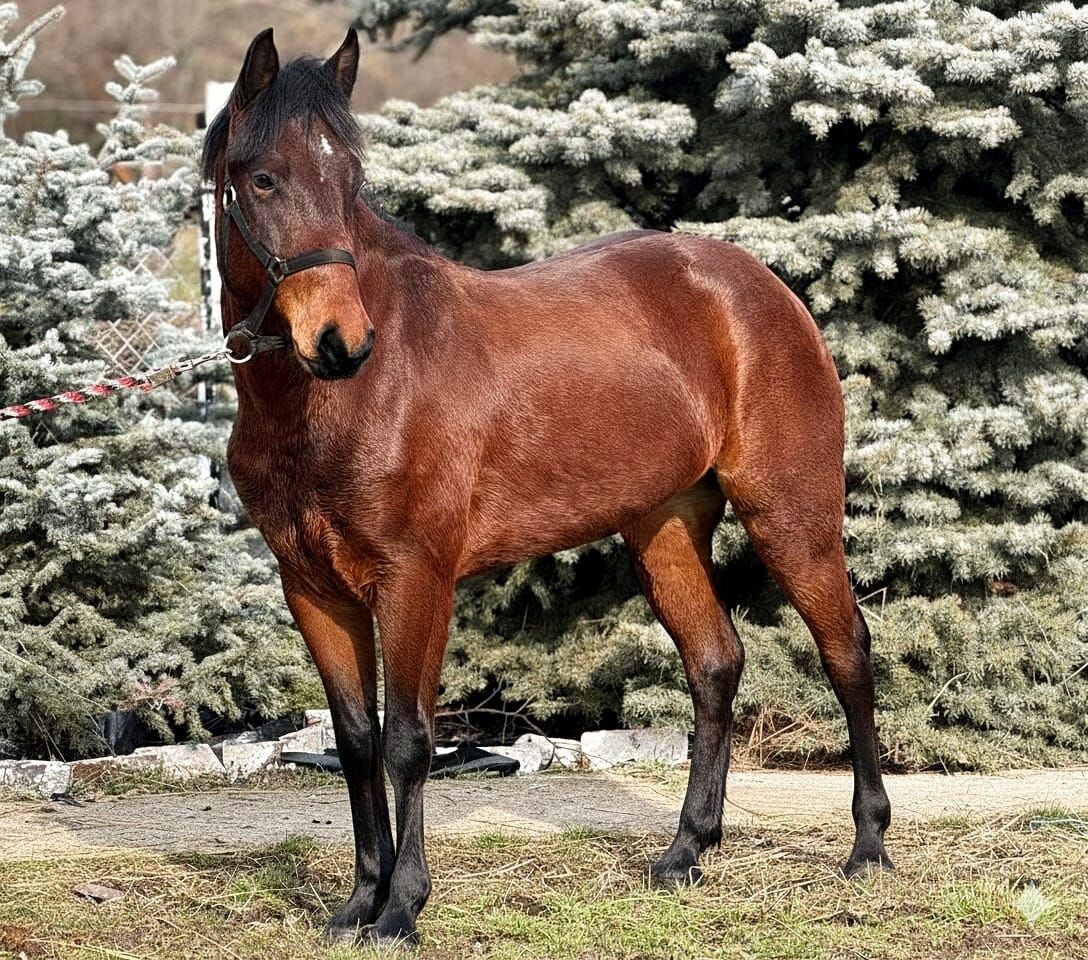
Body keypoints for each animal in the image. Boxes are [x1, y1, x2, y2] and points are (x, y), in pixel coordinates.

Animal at [203, 27, 893, 948]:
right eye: (265, 178)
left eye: (350, 179)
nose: (341, 342)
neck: (338, 401)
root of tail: (759, 285)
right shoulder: (313, 588)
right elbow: (354, 742)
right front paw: (356, 905)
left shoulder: (416, 578)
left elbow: (409, 740)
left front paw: (402, 909)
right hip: (664, 529)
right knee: (716, 662)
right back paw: (685, 854)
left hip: (791, 514)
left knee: (845, 651)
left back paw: (868, 848)